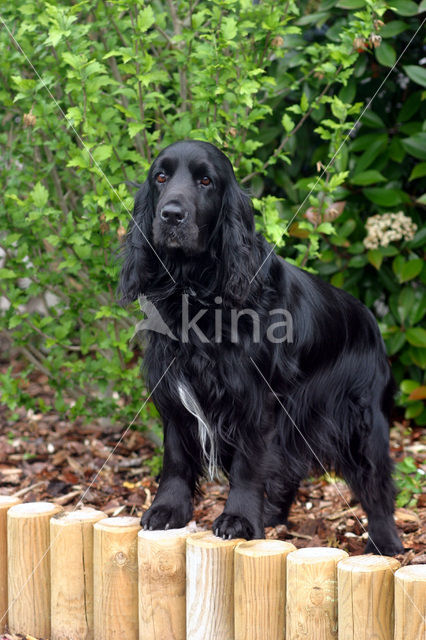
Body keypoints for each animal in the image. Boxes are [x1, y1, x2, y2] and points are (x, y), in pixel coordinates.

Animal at [119, 140, 402, 556]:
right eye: (161, 176)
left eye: (206, 180)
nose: (171, 215)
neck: (197, 292)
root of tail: (369, 318)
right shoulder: (173, 391)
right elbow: (176, 457)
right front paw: (168, 510)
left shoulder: (257, 400)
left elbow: (248, 464)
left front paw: (239, 519)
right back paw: (273, 515)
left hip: (362, 421)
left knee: (376, 482)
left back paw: (386, 542)